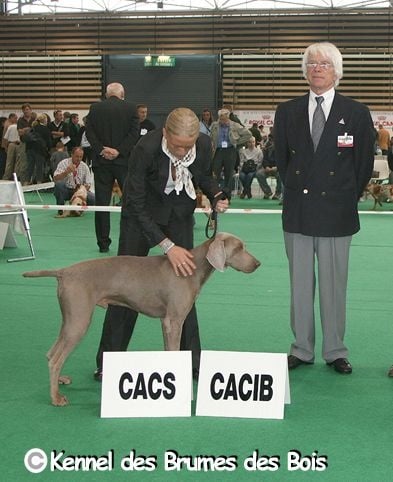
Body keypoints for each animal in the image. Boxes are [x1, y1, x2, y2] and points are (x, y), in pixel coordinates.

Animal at [23, 232, 258, 404]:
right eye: (239, 248)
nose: (258, 264)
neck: (193, 268)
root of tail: (64, 271)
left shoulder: (167, 322)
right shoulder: (174, 321)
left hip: (70, 318)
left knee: (51, 353)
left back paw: (60, 380)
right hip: (80, 320)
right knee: (56, 359)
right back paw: (56, 398)